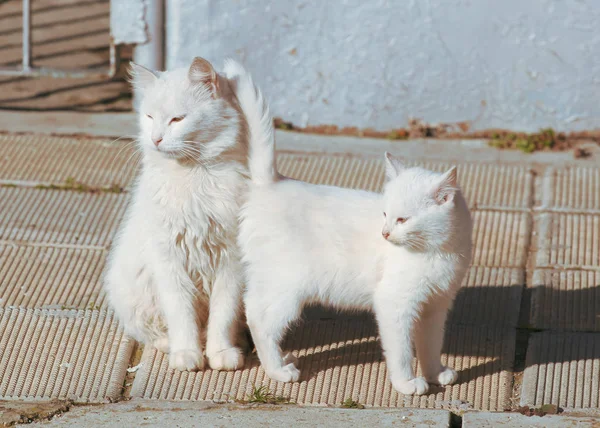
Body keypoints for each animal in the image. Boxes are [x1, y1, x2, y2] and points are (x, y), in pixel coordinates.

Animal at [105, 56, 251, 372]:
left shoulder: (230, 262)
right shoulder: (169, 259)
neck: (194, 175)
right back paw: (170, 345)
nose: (156, 139)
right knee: (153, 331)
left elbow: (223, 315)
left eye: (177, 120)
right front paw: (187, 354)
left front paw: (221, 353)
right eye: (149, 117)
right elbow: (181, 314)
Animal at [234, 84, 474, 394]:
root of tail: (272, 184)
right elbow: (402, 350)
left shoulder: (436, 306)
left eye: (401, 220)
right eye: (386, 214)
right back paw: (278, 370)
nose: (384, 233)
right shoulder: (395, 303)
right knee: (259, 319)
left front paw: (436, 373)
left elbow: (430, 344)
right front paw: (406, 383)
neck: (436, 251)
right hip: (286, 286)